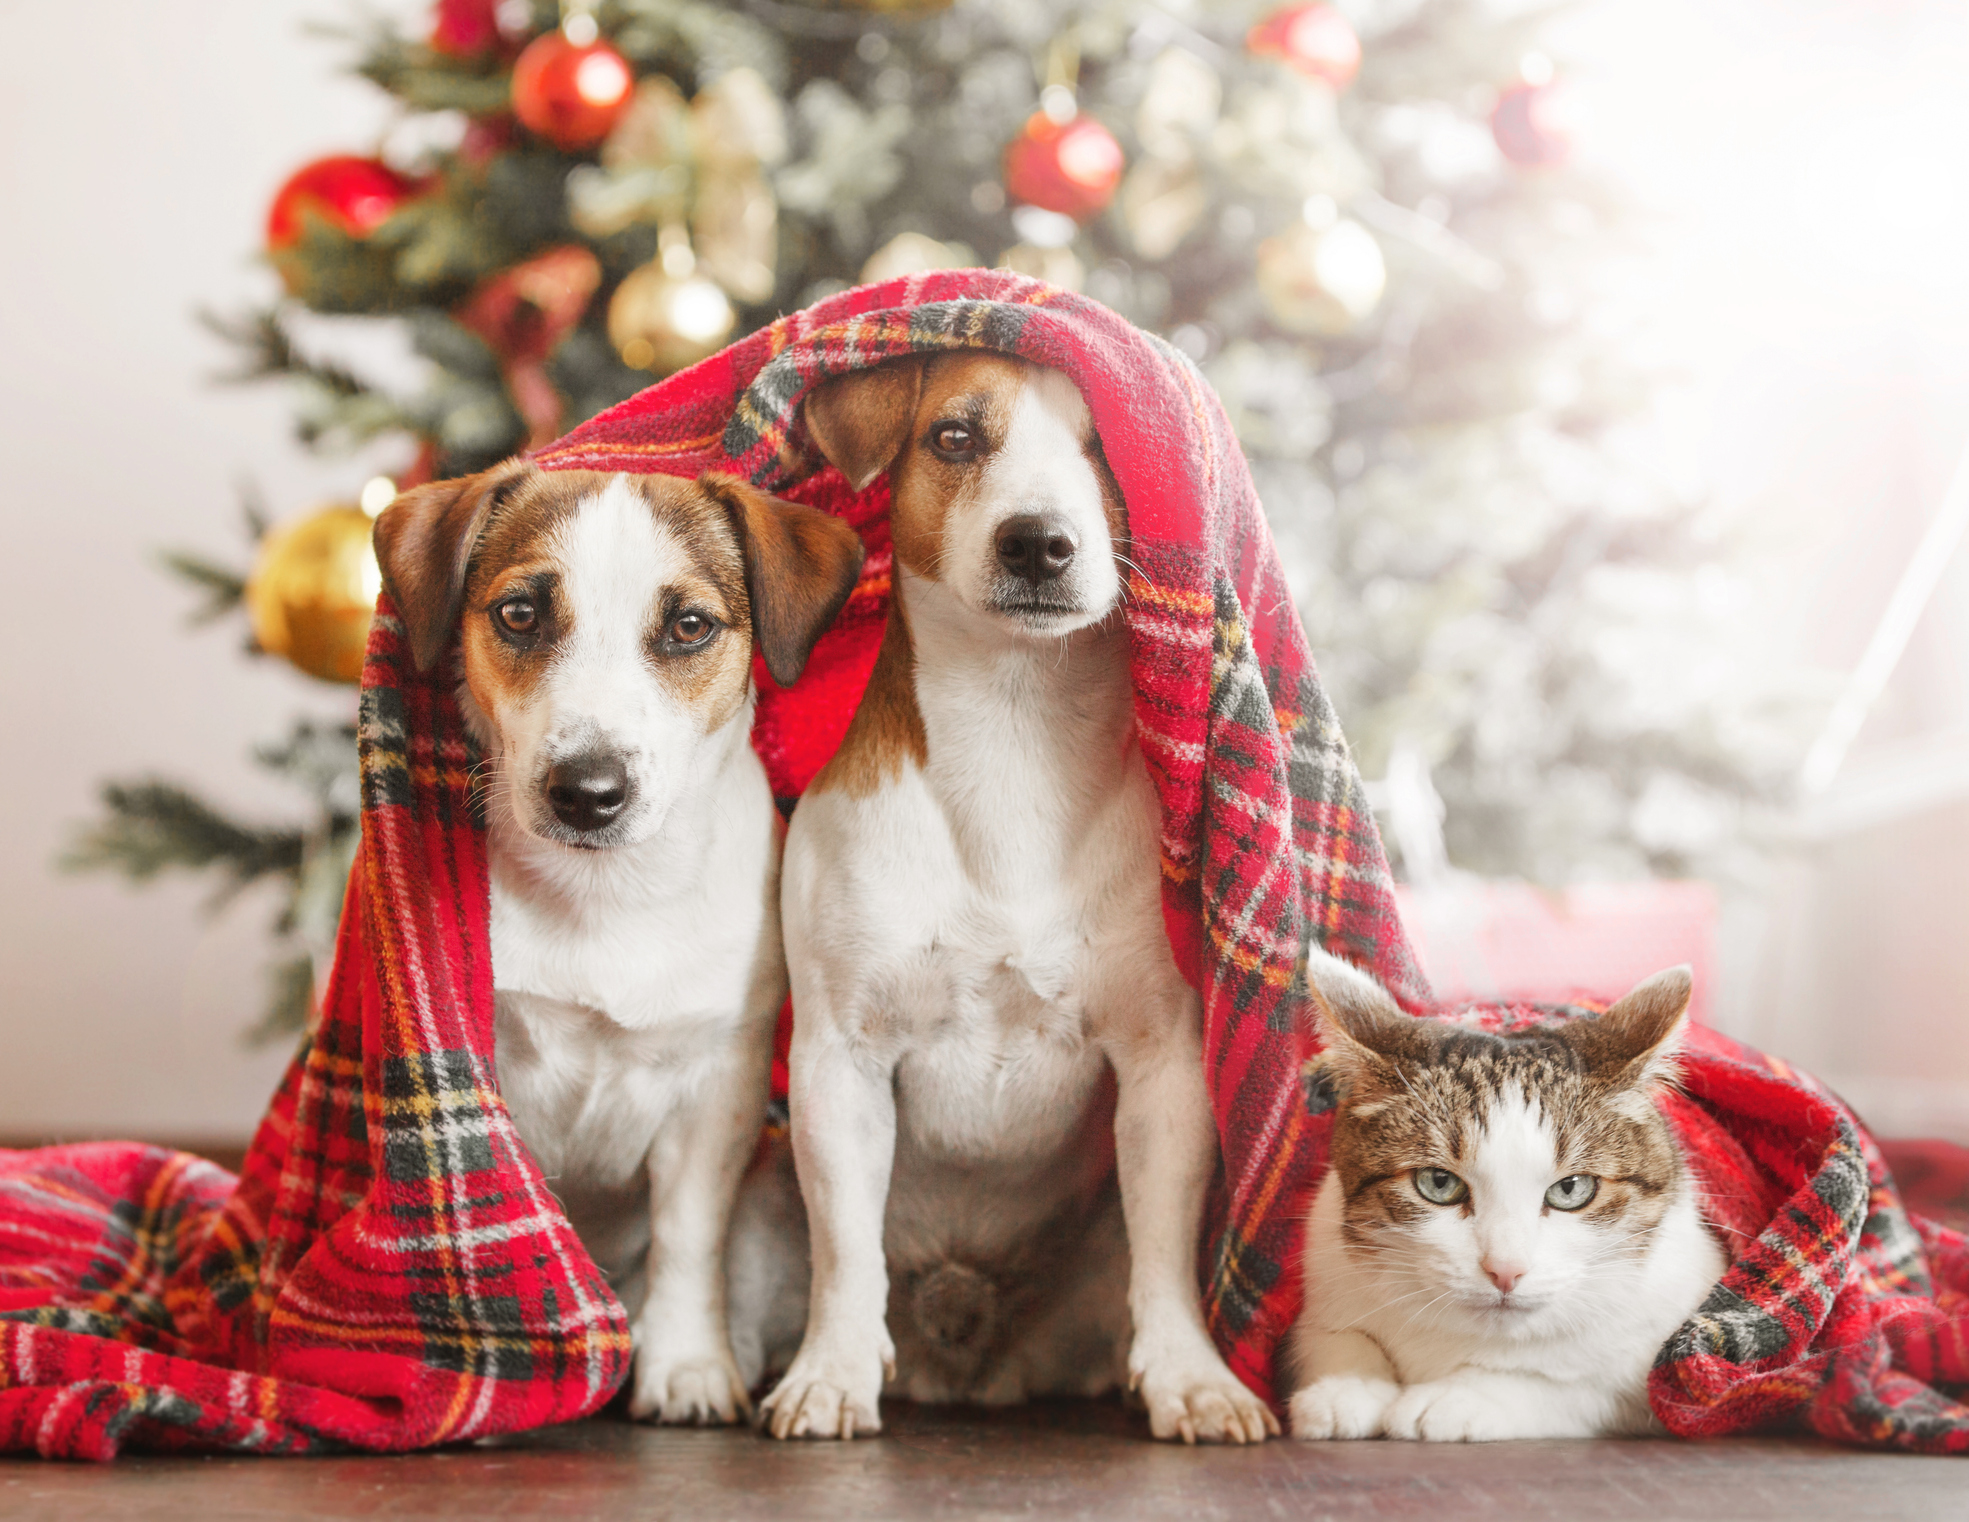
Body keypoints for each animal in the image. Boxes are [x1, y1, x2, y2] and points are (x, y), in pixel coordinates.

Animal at [374, 460, 862, 1425]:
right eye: (519, 613)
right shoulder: (492, 1066)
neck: (604, 898)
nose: (587, 792)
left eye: (688, 626)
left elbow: (687, 1236)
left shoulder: (717, 1084)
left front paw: (687, 1366)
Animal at [752, 350, 1275, 1441]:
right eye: (955, 436)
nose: (1038, 541)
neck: (1014, 728)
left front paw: (1192, 1376)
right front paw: (830, 1372)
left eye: (1107, 445)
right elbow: (845, 1249)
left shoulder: (1162, 1063)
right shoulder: (838, 1060)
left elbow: (1166, 1252)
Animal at [1283, 949, 1716, 1433]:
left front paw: (1456, 1399)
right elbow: (1333, 1335)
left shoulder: (1662, 1360)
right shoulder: (1327, 1264)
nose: (1505, 1271)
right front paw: (1345, 1389)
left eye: (1571, 1189)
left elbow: (1572, 1388)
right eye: (1439, 1183)